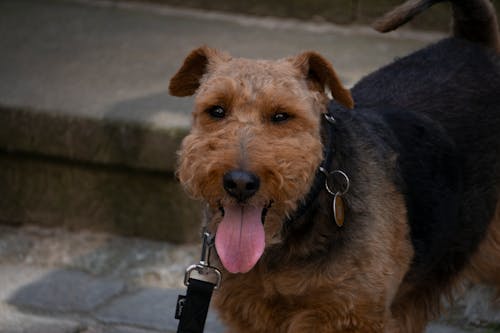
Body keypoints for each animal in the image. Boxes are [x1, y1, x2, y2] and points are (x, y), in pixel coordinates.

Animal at [169, 1, 500, 330]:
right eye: (216, 110)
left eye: (281, 115)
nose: (239, 182)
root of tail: (471, 42)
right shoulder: (252, 310)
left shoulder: (350, 314)